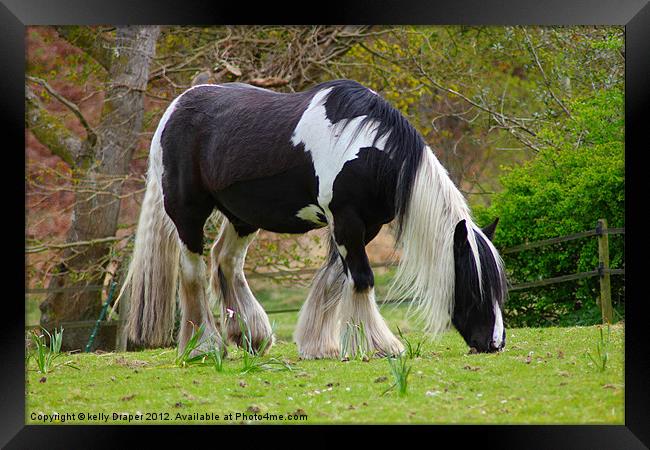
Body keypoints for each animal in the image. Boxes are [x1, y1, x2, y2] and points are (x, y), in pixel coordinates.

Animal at [119, 78, 508, 358]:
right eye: (475, 286)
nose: (495, 343)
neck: (363, 148)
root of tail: (174, 108)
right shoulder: (346, 220)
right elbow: (362, 279)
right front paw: (380, 346)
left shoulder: (364, 226)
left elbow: (335, 279)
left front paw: (320, 345)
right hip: (188, 213)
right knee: (193, 273)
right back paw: (203, 346)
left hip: (243, 216)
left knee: (226, 261)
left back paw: (251, 336)